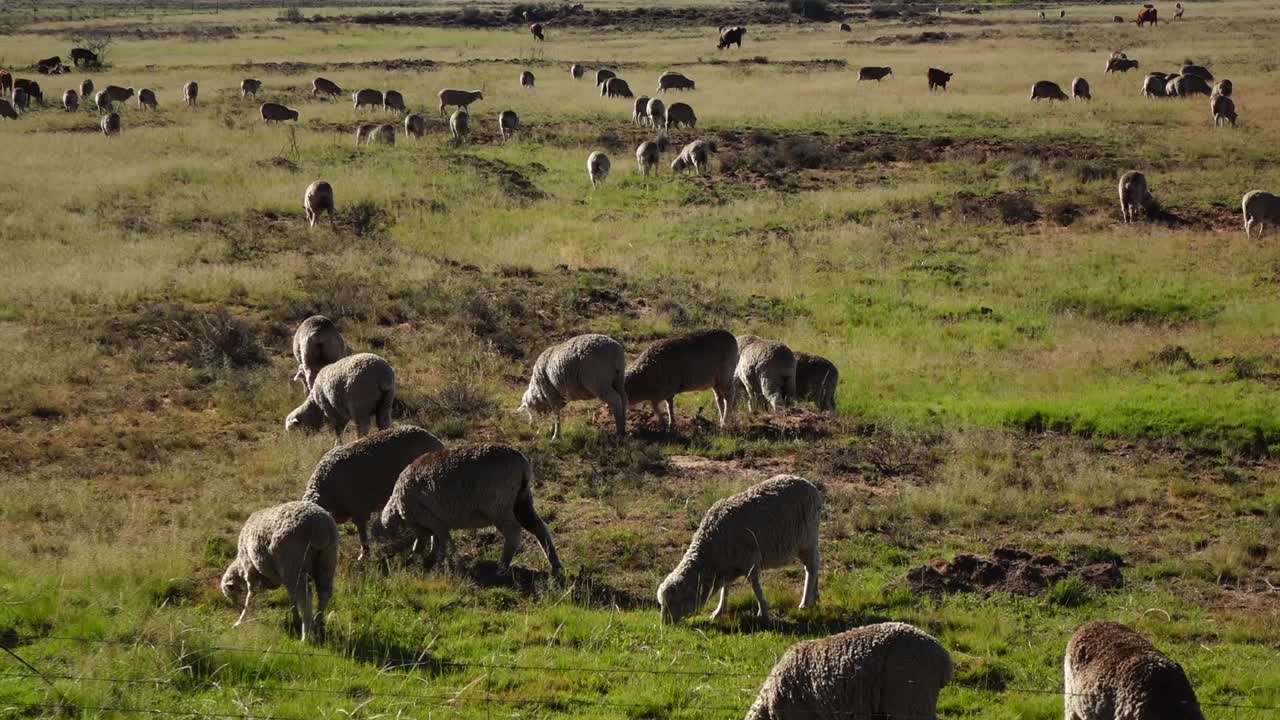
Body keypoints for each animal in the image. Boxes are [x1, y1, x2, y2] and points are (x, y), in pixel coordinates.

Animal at [220, 501, 338, 644]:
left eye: (232, 595)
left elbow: (250, 596)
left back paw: (305, 636)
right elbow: (292, 598)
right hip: (327, 560)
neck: (240, 567)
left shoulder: (251, 570)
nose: (237, 608)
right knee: (324, 594)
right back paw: (316, 624)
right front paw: (295, 619)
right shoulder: (283, 577)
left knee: (305, 598)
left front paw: (240, 621)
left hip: (293, 563)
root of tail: (320, 526)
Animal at [378, 444, 563, 577]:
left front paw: (458, 566)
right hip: (521, 501)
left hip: (498, 506)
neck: (398, 501)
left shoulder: (430, 518)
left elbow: (442, 540)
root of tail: (522, 463)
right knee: (539, 528)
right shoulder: (430, 521)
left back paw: (502, 567)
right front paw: (425, 559)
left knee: (514, 532)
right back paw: (556, 566)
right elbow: (431, 540)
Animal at [657, 474, 821, 623]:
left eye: (671, 602)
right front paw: (718, 612)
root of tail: (810, 485)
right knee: (815, 565)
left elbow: (755, 586)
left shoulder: (750, 560)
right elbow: (725, 589)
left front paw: (763, 612)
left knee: (811, 568)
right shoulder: (726, 567)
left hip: (807, 539)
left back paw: (805, 603)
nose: (665, 625)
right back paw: (815, 597)